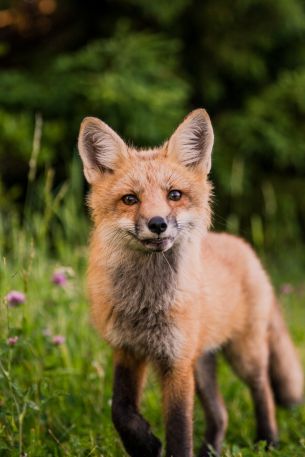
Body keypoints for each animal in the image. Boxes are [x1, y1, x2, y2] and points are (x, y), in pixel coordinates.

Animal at [78, 108, 302, 454]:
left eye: (174, 195)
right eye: (130, 199)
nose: (157, 223)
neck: (146, 304)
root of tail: (243, 246)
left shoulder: (177, 361)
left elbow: (179, 428)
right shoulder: (128, 350)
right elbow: (121, 410)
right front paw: (143, 444)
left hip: (244, 353)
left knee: (262, 388)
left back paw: (268, 440)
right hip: (203, 363)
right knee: (221, 414)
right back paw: (211, 450)